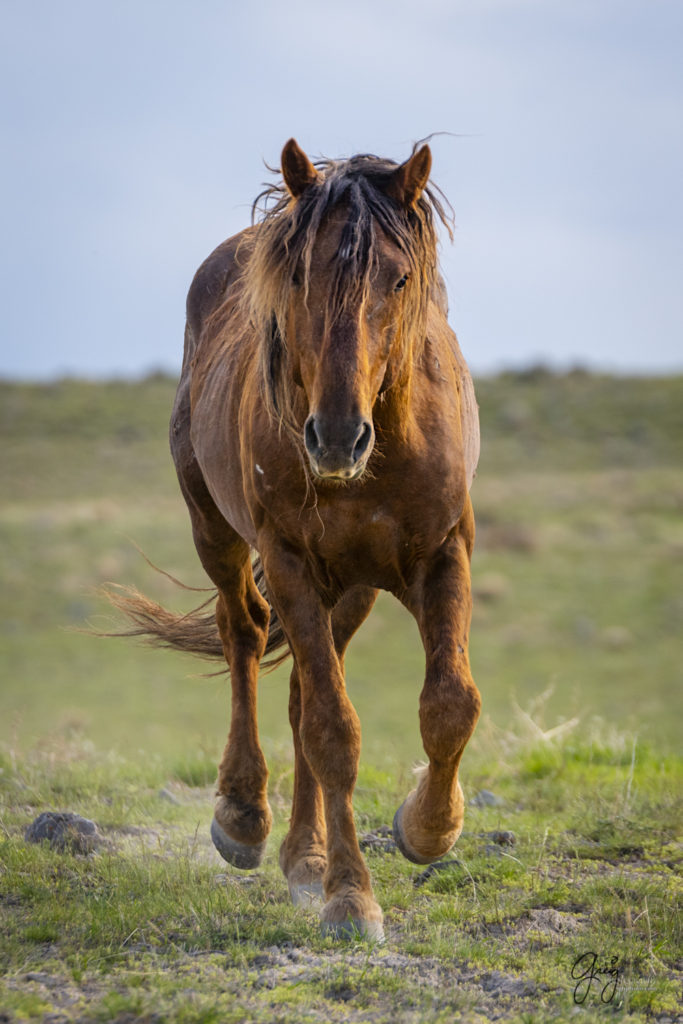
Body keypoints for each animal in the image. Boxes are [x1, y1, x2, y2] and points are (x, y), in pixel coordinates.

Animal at [112, 140, 481, 937]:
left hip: (352, 588)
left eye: (399, 277)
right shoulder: (288, 564)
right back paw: (244, 818)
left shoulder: (443, 553)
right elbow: (333, 731)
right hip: (219, 533)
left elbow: (449, 706)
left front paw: (427, 828)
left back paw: (303, 857)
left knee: (300, 685)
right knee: (245, 637)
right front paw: (351, 897)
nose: (337, 436)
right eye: (301, 275)